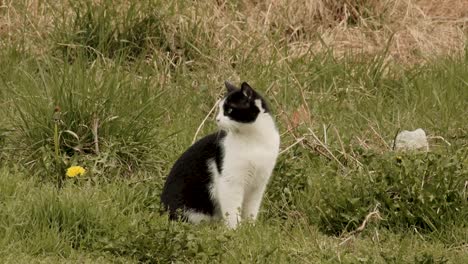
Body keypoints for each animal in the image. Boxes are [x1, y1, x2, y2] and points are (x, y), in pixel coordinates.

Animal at [161, 81, 280, 229]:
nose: (217, 119)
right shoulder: (230, 183)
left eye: (229, 110)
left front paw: (250, 228)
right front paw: (235, 230)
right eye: (219, 109)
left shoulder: (258, 185)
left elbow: (251, 211)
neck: (254, 141)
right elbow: (233, 212)